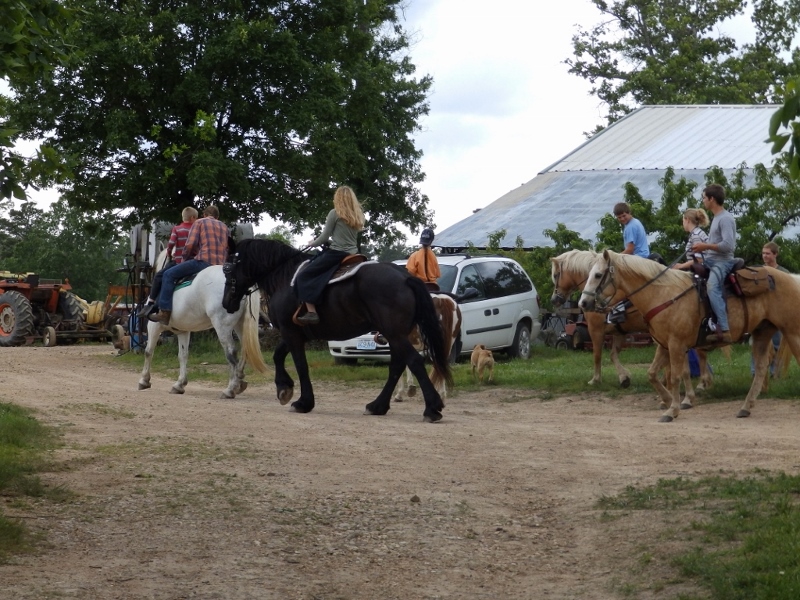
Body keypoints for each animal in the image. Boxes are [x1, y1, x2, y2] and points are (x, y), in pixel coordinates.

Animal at [137, 249, 263, 399]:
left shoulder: (154, 326)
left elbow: (148, 351)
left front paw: (144, 380)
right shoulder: (183, 331)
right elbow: (183, 355)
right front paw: (179, 384)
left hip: (222, 326)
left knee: (231, 352)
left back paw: (230, 389)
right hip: (240, 325)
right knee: (245, 350)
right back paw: (239, 382)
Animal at [222, 238, 452, 422]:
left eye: (227, 269)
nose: (226, 303)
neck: (284, 278)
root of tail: (405, 277)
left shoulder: (291, 332)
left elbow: (300, 365)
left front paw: (303, 402)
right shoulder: (295, 333)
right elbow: (278, 355)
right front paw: (284, 388)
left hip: (395, 335)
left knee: (414, 361)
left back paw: (432, 408)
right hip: (396, 336)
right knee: (397, 366)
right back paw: (377, 406)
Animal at [551, 250, 718, 409]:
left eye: (556, 275)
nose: (554, 300)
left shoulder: (595, 328)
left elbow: (597, 354)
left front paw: (596, 379)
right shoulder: (619, 332)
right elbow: (613, 355)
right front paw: (624, 377)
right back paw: (700, 382)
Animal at [579, 249, 800, 421]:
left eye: (598, 275)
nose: (583, 303)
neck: (663, 295)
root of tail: (791, 278)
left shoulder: (676, 344)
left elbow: (676, 375)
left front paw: (673, 409)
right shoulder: (664, 345)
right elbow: (653, 374)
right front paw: (668, 400)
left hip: (792, 332)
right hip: (762, 333)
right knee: (761, 368)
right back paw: (746, 406)